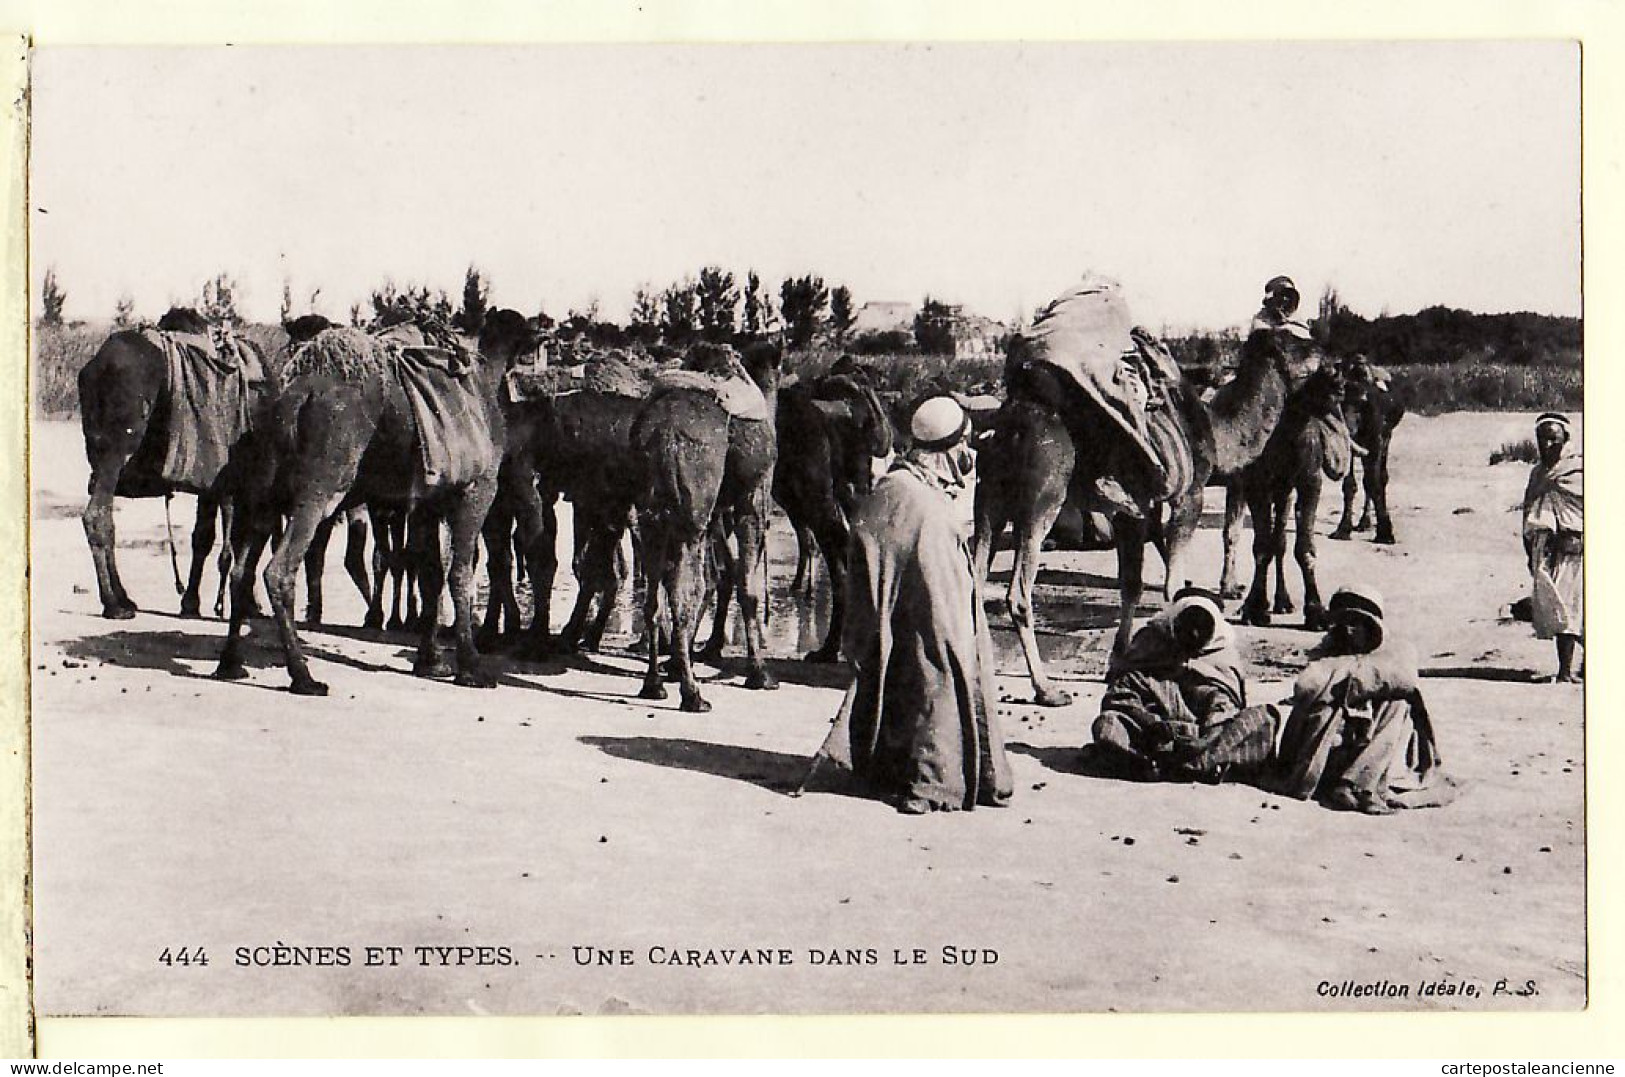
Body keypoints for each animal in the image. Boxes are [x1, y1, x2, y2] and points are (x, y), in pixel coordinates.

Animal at [212, 307, 542, 695]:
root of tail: (297, 393)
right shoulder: (476, 488)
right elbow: (460, 573)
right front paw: (472, 667)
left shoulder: (426, 501)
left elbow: (431, 573)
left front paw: (430, 661)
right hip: (324, 476)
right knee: (280, 568)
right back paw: (304, 677)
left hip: (268, 488)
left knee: (242, 570)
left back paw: (231, 663)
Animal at [627, 341, 780, 711]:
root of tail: (664, 435)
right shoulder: (753, 497)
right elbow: (745, 584)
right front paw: (759, 674)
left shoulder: (714, 514)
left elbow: (718, 576)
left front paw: (676, 664)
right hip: (690, 518)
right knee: (685, 592)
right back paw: (693, 694)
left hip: (656, 518)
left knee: (655, 595)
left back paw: (654, 684)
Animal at [975, 333, 1306, 711]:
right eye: (1297, 345)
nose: (1328, 364)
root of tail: (1011, 422)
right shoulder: (1189, 495)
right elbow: (1171, 584)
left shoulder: (1134, 506)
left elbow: (1132, 582)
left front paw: (1118, 660)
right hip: (1042, 495)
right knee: (1018, 591)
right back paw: (1047, 690)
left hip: (988, 496)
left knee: (975, 578)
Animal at [1235, 363, 1352, 627]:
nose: (1337, 383)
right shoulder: (1256, 485)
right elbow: (1262, 547)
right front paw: (1255, 608)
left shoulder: (1310, 482)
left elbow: (1303, 547)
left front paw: (1316, 610)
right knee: (1272, 541)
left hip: (1285, 492)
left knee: (1280, 540)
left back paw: (1283, 601)